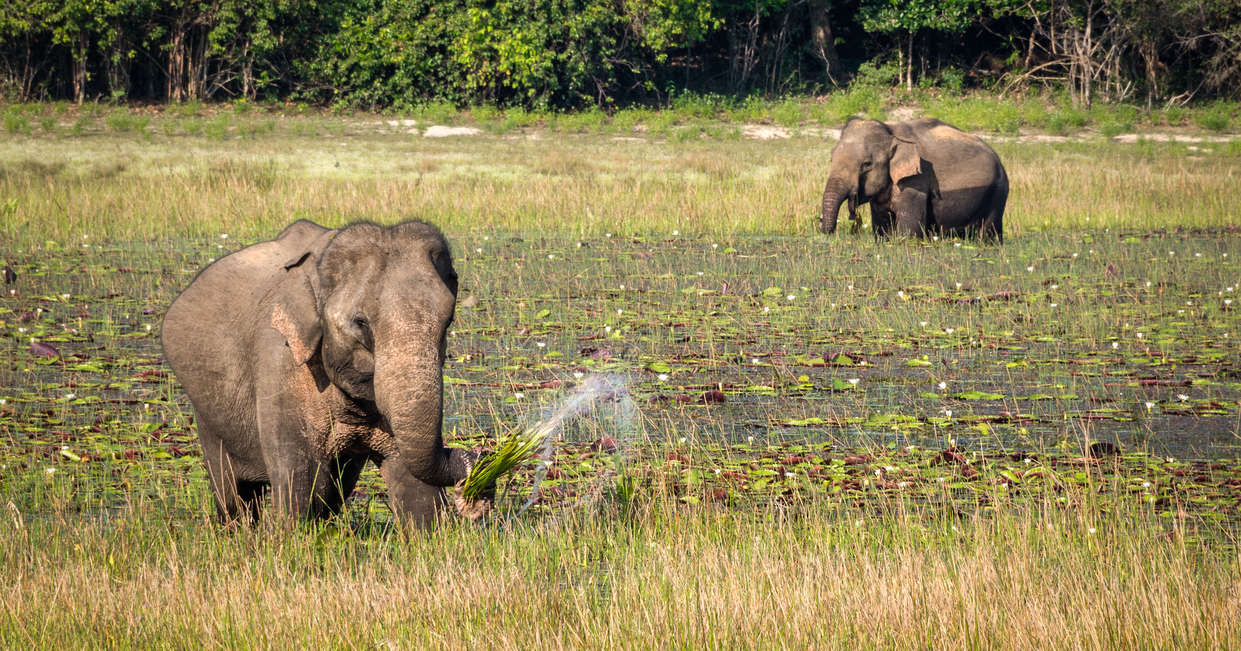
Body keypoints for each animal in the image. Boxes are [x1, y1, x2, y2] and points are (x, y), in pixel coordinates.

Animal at [162, 220, 491, 525]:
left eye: (448, 320)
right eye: (361, 322)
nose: (480, 459)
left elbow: (416, 491)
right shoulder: (280, 365)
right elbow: (301, 480)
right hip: (207, 414)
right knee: (233, 493)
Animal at [824, 116, 1007, 240]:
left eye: (866, 164)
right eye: (831, 158)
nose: (826, 231)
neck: (890, 130)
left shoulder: (916, 181)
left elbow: (909, 232)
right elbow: (882, 228)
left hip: (997, 194)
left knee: (988, 231)